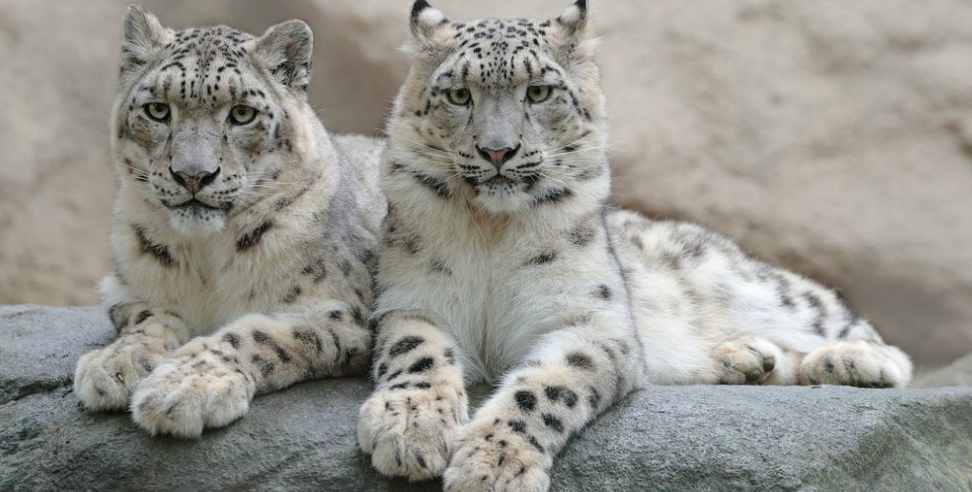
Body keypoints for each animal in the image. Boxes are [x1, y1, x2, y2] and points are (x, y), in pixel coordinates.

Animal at [72, 6, 386, 438]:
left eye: (241, 114)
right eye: (157, 109)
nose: (192, 175)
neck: (205, 257)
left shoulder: (338, 310)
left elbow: (256, 334)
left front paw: (183, 388)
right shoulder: (128, 289)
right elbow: (148, 317)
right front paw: (115, 364)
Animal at [356, 1, 912, 490]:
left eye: (538, 91)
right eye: (458, 95)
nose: (498, 150)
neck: (492, 231)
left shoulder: (592, 321)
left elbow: (544, 388)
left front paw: (492, 466)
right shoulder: (413, 300)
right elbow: (416, 354)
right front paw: (409, 428)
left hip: (751, 283)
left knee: (847, 324)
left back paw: (852, 361)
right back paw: (746, 357)